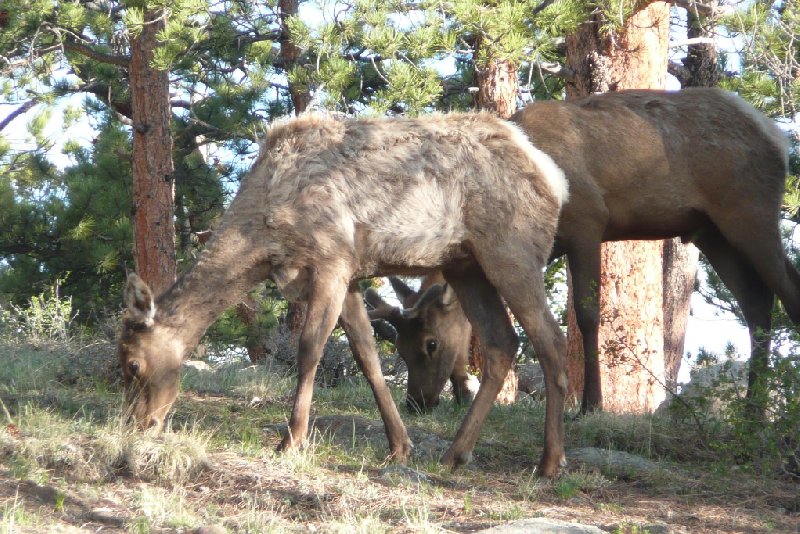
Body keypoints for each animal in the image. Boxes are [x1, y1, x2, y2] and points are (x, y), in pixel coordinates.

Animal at [115, 112, 572, 478]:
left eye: (133, 364)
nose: (137, 423)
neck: (262, 236)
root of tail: (554, 176)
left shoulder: (331, 259)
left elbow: (310, 349)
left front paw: (292, 439)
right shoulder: (351, 275)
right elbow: (367, 357)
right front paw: (399, 447)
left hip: (511, 250)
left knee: (552, 339)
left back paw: (550, 461)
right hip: (466, 265)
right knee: (502, 343)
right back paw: (456, 454)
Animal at [376, 87, 800, 414]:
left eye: (431, 343)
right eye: (400, 346)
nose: (416, 403)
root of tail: (778, 136)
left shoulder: (588, 223)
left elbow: (587, 315)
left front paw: (590, 404)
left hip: (750, 214)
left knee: (786, 291)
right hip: (712, 233)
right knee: (757, 306)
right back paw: (753, 410)